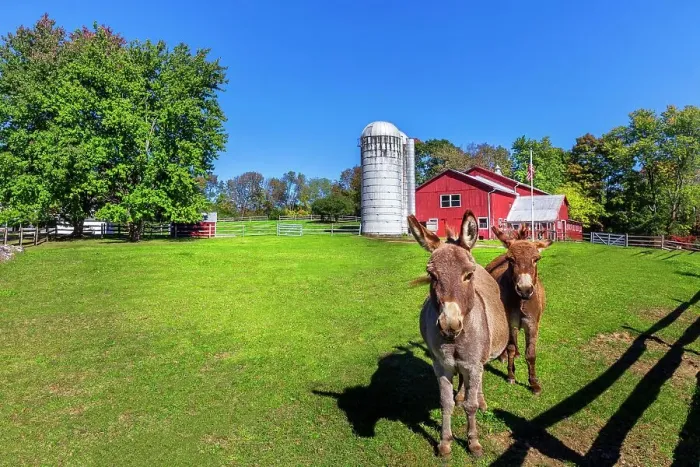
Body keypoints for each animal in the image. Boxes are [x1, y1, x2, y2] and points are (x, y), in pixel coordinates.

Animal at [407, 211, 509, 457]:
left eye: (468, 275)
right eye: (431, 275)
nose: (450, 324)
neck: (455, 341)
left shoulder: (473, 364)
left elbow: (470, 406)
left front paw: (473, 443)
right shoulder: (441, 366)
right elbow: (446, 403)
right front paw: (445, 443)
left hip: (481, 358)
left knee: (478, 382)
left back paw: (480, 400)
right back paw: (462, 393)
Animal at [485, 224, 552, 394]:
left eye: (536, 259)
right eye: (511, 259)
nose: (524, 290)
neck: (521, 301)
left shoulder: (533, 324)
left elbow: (531, 354)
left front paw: (534, 383)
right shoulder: (510, 322)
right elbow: (509, 347)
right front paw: (511, 376)